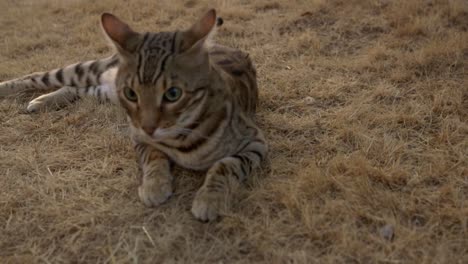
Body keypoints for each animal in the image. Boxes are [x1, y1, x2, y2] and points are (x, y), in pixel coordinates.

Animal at [0, 9, 266, 221]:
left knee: (75, 89)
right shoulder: (139, 138)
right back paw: (16, 90)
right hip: (87, 70)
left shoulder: (255, 142)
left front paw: (209, 199)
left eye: (173, 94)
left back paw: (44, 100)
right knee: (39, 76)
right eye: (131, 93)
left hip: (102, 91)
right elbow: (154, 156)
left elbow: (225, 166)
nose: (148, 127)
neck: (181, 139)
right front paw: (155, 186)